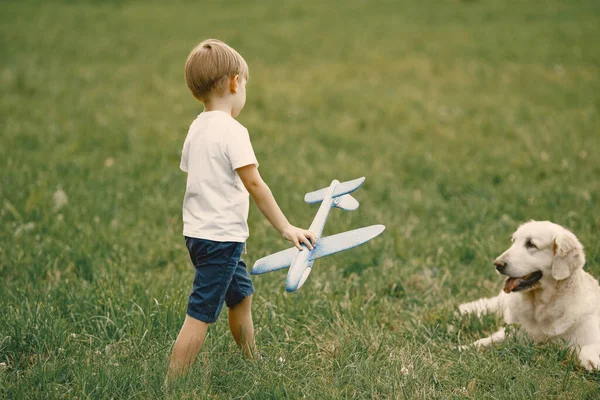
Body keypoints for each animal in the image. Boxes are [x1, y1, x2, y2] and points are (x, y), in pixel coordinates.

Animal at [460, 220, 600, 370]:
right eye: (513, 241)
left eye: (531, 244)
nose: (497, 264)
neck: (541, 306)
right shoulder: (512, 333)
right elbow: (484, 341)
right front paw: (462, 348)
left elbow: (587, 348)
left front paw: (592, 361)